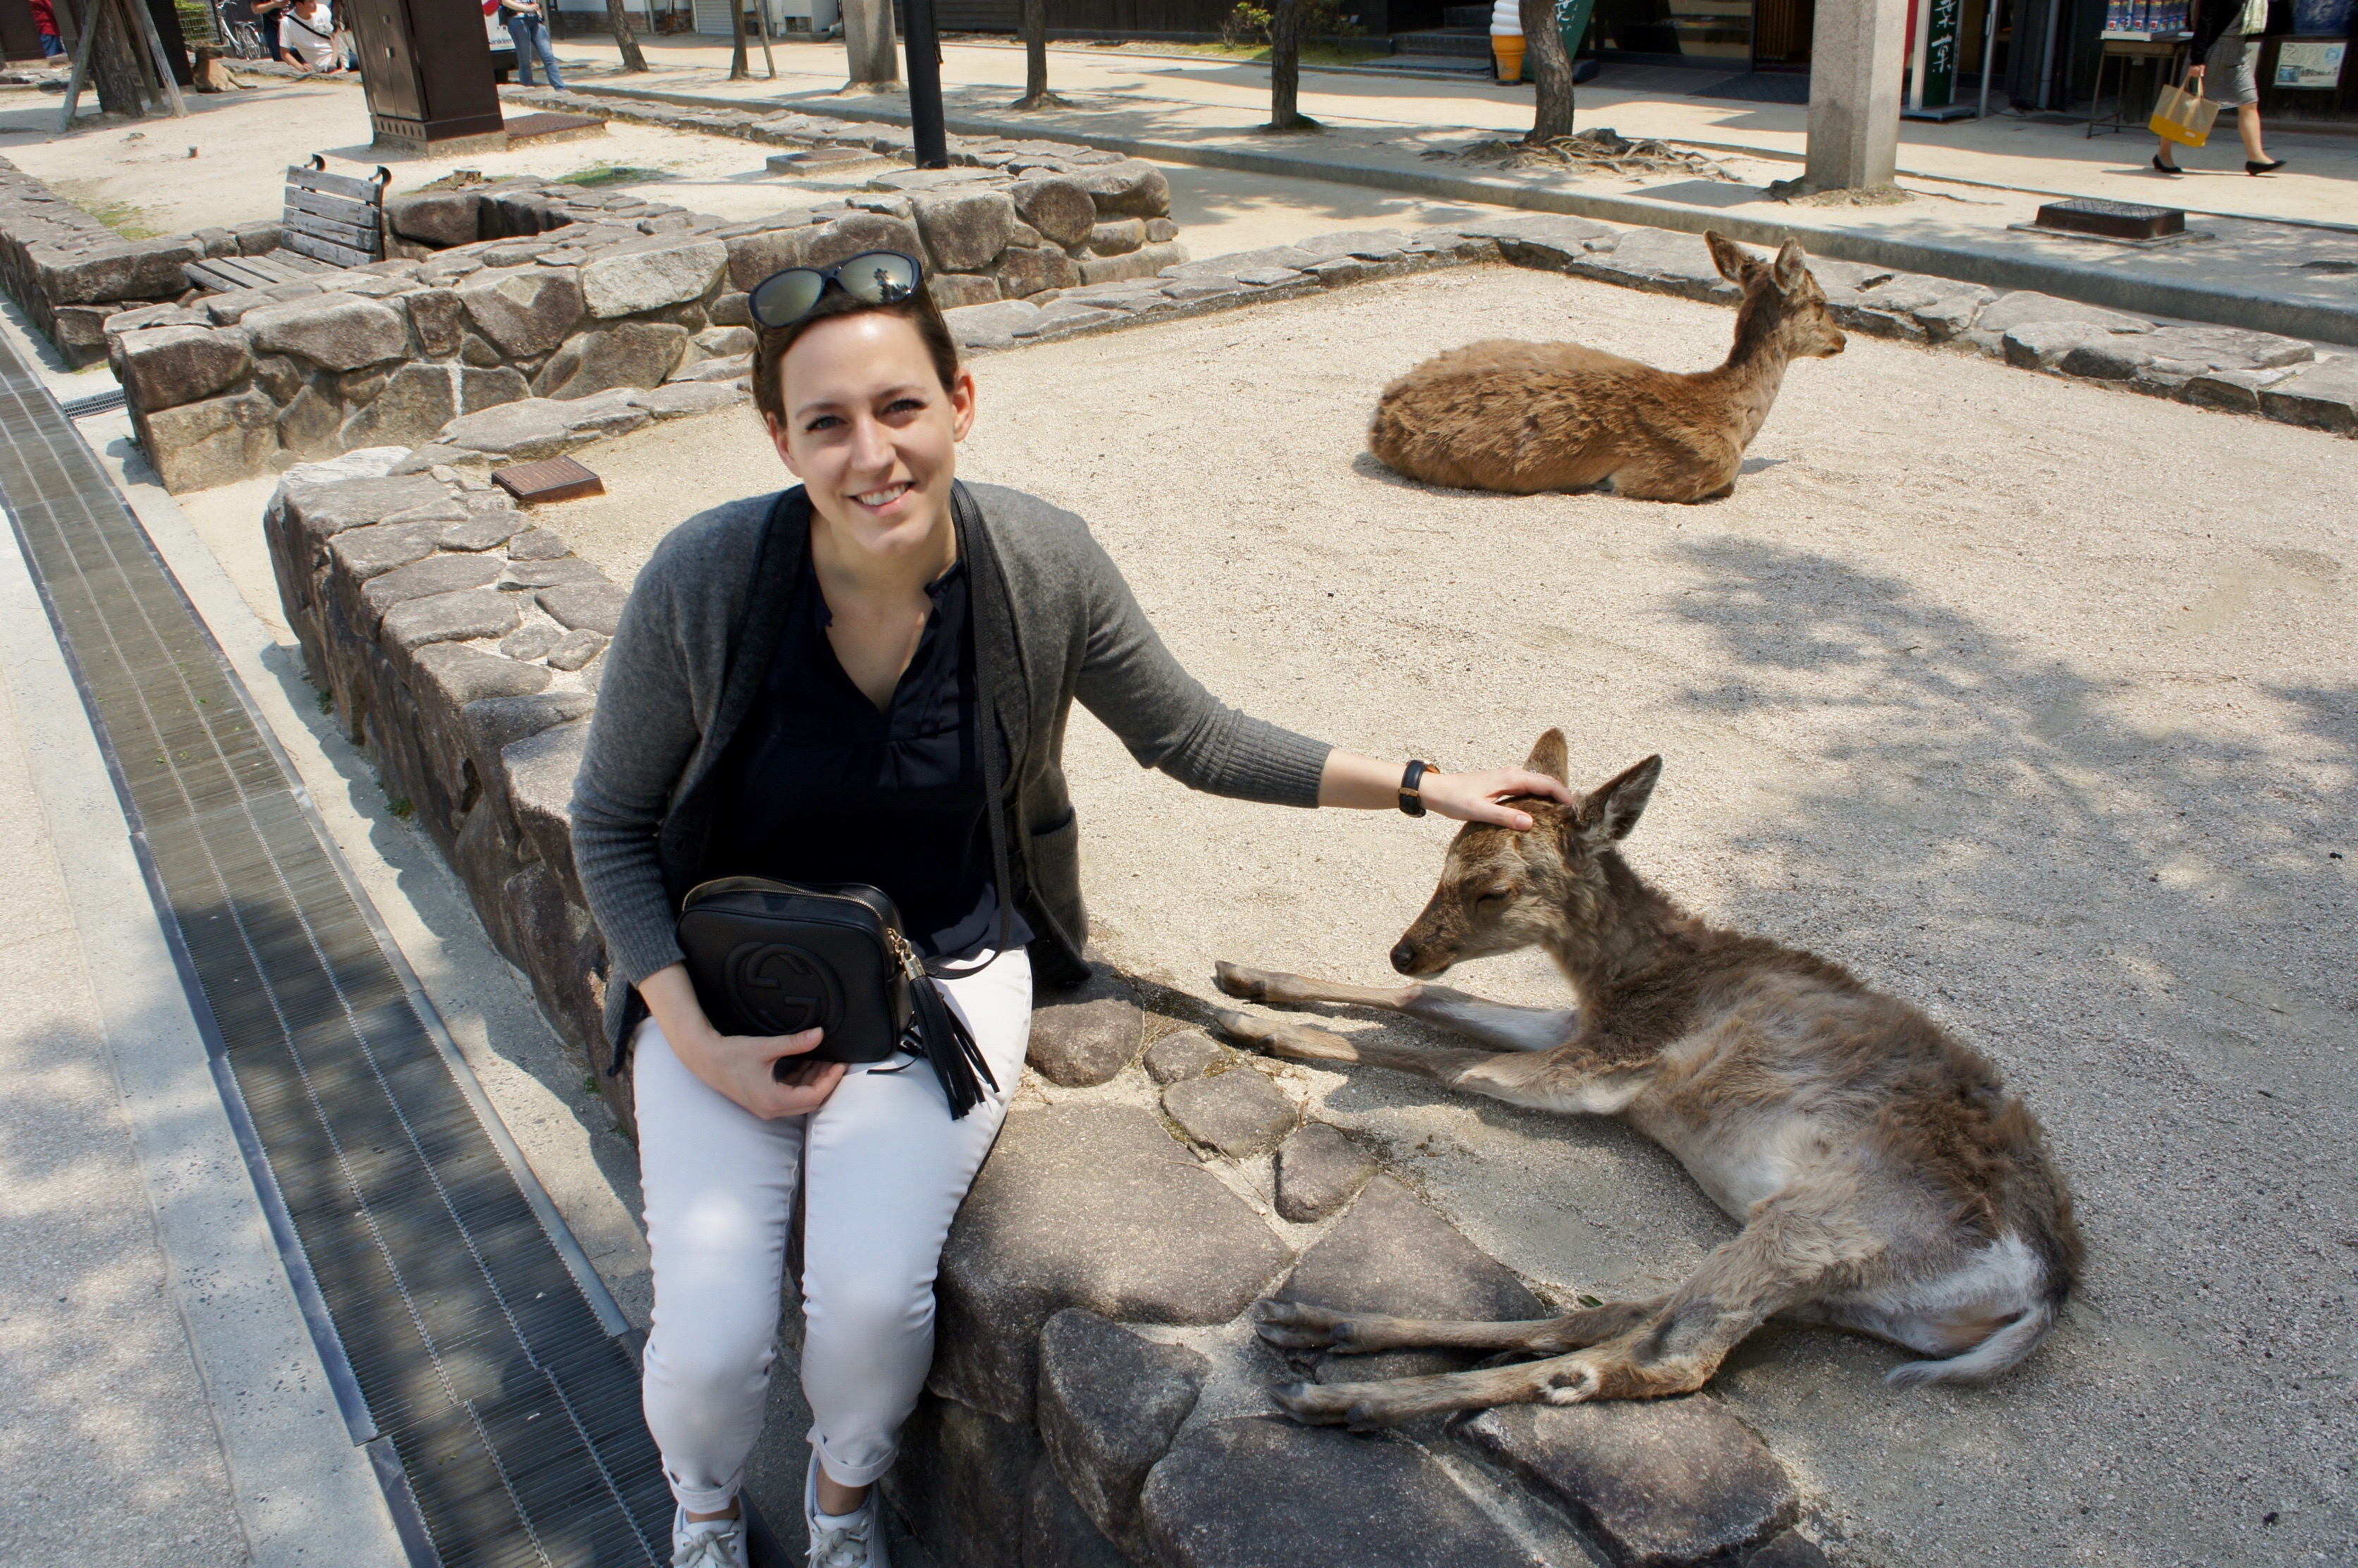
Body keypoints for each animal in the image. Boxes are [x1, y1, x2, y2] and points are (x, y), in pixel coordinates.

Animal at [1210, 731, 2080, 1429]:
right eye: (1442, 860)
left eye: (1493, 889)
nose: (1404, 950)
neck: (1633, 978)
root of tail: (2037, 1293)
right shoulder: (1580, 1027)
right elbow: (1438, 1004)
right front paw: (1246, 977)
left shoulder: (1611, 1062)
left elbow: (1451, 1061)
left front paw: (1255, 1026)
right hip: (1839, 1290)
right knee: (1612, 1315)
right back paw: (1322, 1324)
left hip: (1824, 1227)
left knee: (1655, 1358)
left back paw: (1341, 1395)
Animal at [1367, 231, 1846, 503]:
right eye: (1821, 302)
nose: (1842, 340)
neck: (1729, 416)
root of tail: (1379, 420)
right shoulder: (1688, 470)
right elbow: (1723, 484)